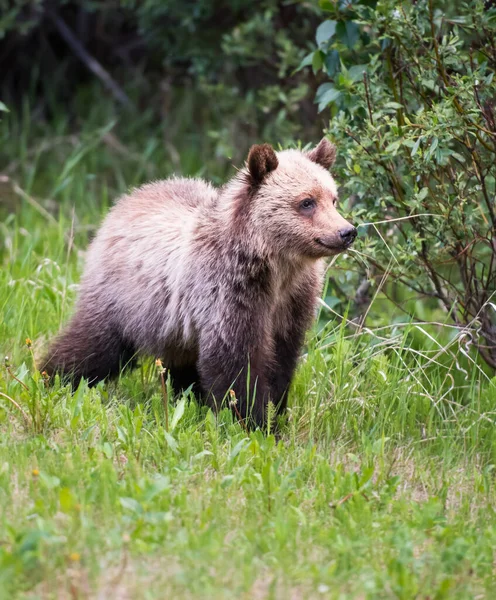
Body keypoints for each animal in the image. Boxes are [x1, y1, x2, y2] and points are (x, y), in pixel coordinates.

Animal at [41, 137, 352, 426]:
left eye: (333, 198)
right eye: (307, 202)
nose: (347, 231)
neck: (275, 265)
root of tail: (126, 200)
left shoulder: (292, 302)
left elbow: (283, 360)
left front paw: (276, 413)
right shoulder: (230, 294)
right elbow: (237, 363)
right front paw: (251, 420)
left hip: (173, 325)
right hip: (125, 298)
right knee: (95, 346)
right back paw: (51, 378)